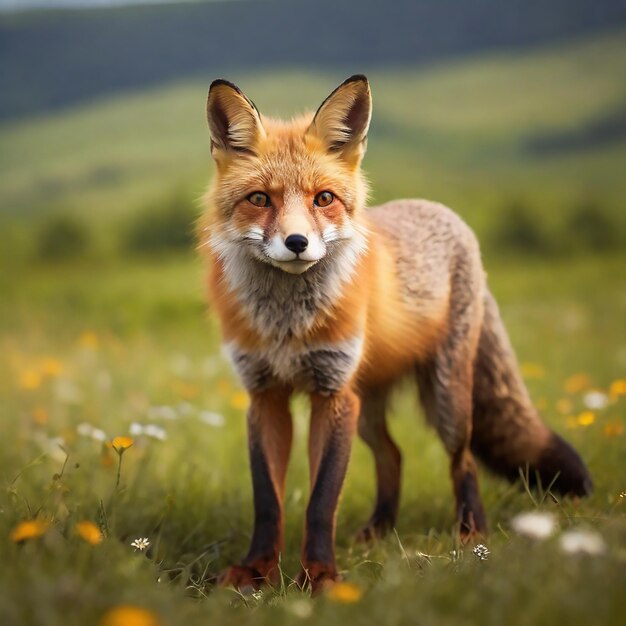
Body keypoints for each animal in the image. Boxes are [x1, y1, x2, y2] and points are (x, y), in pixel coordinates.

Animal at [200, 73, 588, 588]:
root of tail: (442, 210)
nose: (297, 243)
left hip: (446, 400)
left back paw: (471, 534)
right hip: (367, 407)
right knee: (393, 455)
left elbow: (321, 501)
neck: (288, 324)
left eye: (324, 198)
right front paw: (256, 571)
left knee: (463, 460)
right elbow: (269, 502)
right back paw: (378, 532)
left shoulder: (333, 394)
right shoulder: (266, 396)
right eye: (260, 199)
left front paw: (320, 579)